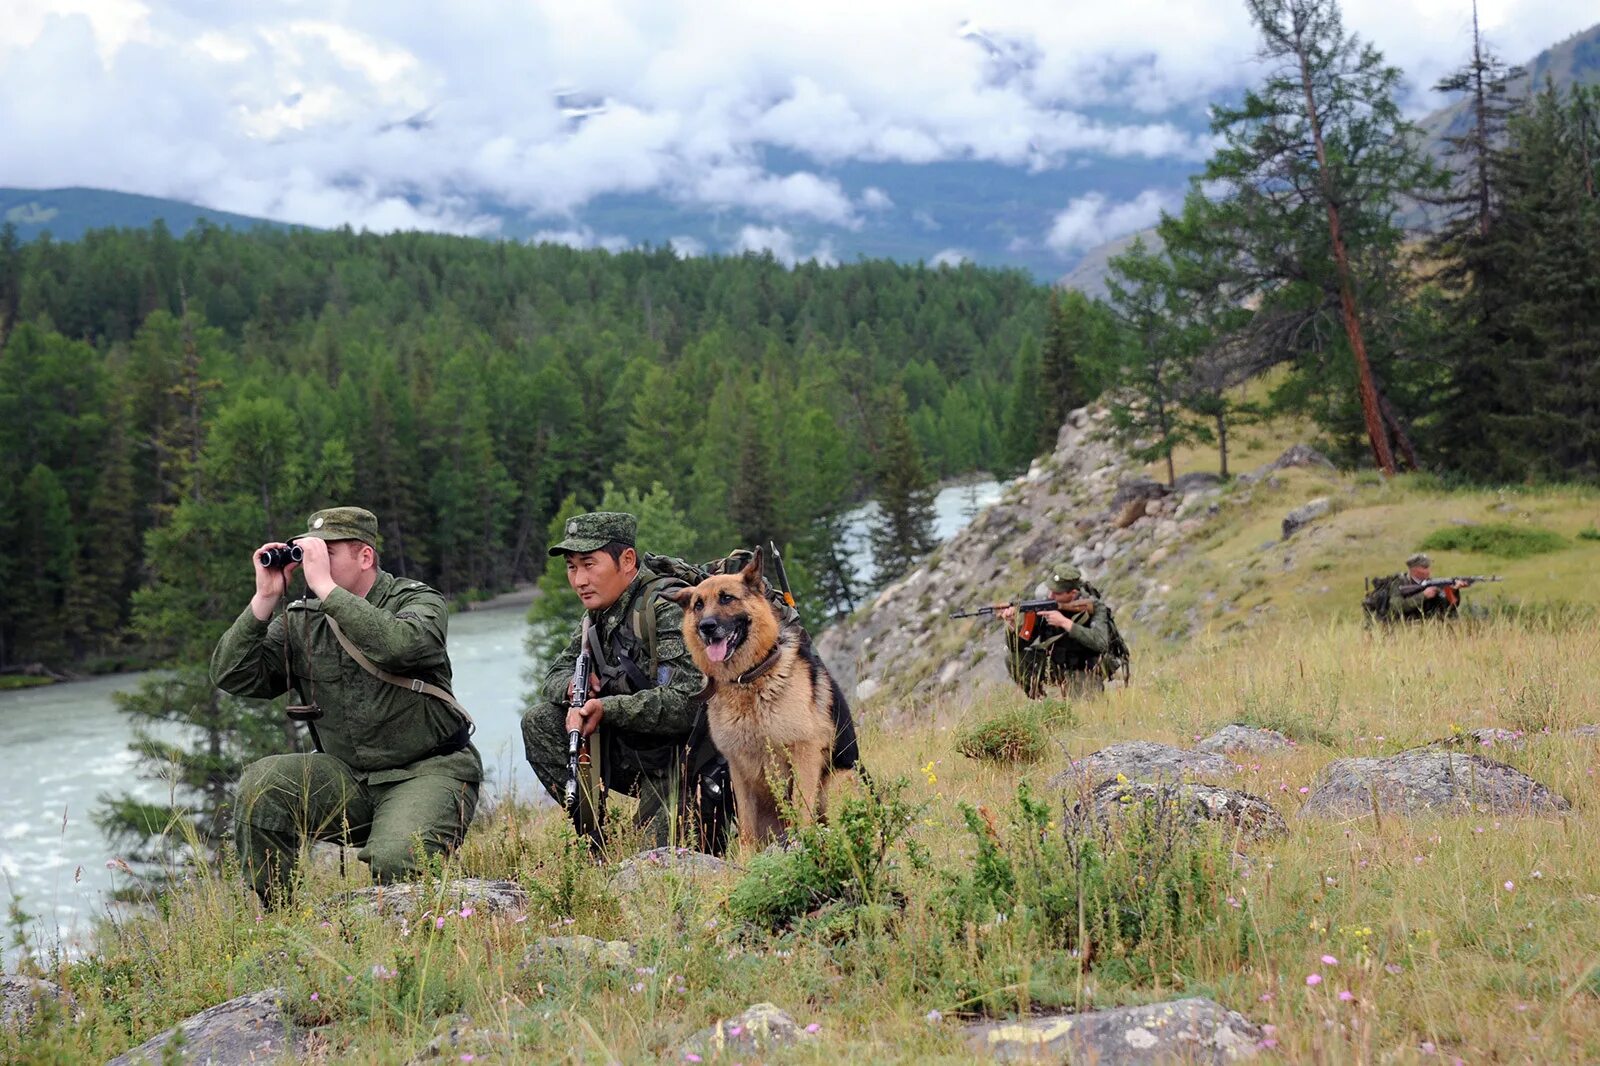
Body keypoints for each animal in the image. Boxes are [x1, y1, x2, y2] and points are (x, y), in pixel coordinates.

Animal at [662, 550, 857, 845]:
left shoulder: (805, 752)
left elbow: (801, 807)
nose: (707, 626)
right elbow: (746, 828)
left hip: (840, 781)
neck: (748, 679)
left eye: (726, 598)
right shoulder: (738, 770)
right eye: (698, 605)